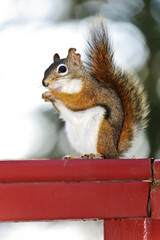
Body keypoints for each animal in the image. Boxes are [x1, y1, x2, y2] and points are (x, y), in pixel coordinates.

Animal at [41, 17, 149, 158]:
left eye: (62, 69)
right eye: (46, 68)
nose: (45, 83)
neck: (68, 86)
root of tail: (115, 150)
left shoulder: (89, 91)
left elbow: (78, 102)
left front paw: (55, 95)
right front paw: (46, 96)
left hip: (102, 132)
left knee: (105, 155)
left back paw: (97, 155)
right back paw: (76, 157)